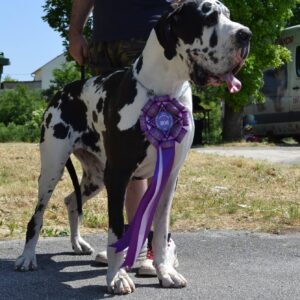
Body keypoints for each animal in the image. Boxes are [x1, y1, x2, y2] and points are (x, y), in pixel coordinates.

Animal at [15, 0, 251, 294]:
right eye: (208, 17)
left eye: (228, 15)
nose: (246, 35)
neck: (164, 88)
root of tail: (63, 90)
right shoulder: (118, 176)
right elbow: (116, 230)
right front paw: (117, 277)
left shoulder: (168, 177)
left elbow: (159, 230)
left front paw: (164, 271)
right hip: (53, 168)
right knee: (37, 216)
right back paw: (27, 257)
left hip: (95, 177)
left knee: (71, 200)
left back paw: (77, 242)